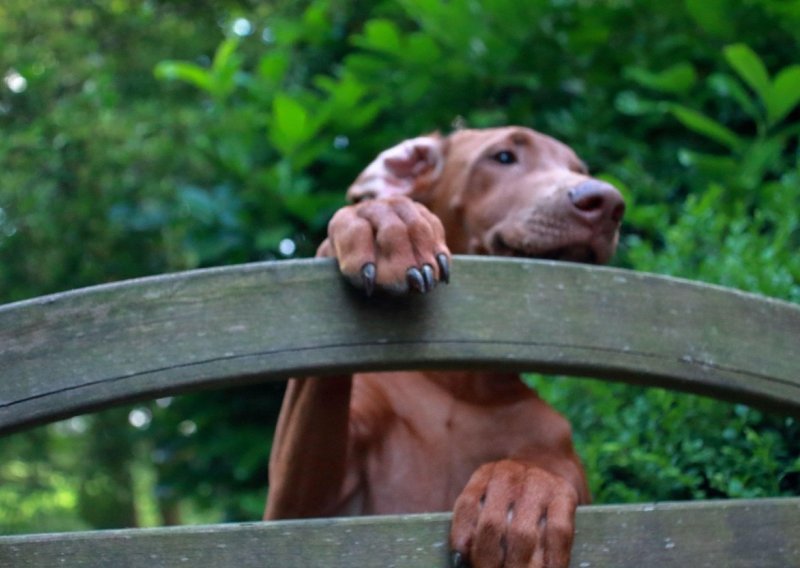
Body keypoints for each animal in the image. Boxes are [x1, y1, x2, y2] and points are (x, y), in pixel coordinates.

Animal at [268, 127, 624, 568]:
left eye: (579, 170)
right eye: (502, 156)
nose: (607, 202)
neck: (460, 382)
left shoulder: (555, 442)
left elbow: (543, 466)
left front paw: (522, 489)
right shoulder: (301, 516)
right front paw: (385, 220)